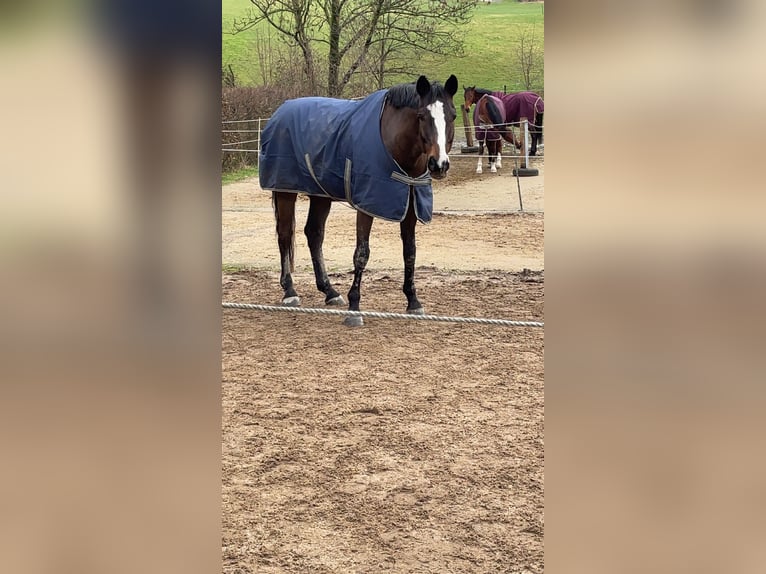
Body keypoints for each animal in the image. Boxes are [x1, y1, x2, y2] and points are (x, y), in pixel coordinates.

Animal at [260, 76, 460, 326]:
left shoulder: (410, 206)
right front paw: (354, 309)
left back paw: (330, 292)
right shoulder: (366, 206)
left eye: (452, 115)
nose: (439, 164)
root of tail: (280, 111)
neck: (394, 143)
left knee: (314, 234)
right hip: (285, 191)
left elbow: (410, 251)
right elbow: (362, 254)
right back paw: (290, 292)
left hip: (320, 195)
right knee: (285, 235)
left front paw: (413, 301)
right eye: (422, 115)